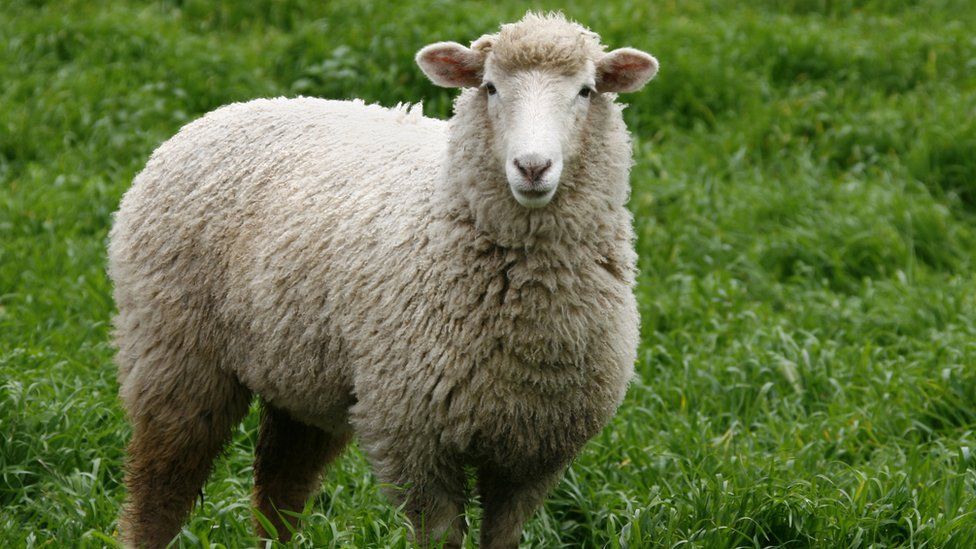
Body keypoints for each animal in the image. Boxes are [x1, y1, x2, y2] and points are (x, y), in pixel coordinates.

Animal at [108, 11, 658, 548]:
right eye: (490, 87)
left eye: (585, 90)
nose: (532, 167)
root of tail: (230, 109)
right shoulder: (415, 440)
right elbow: (439, 538)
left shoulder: (532, 458)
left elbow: (502, 536)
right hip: (175, 356)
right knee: (160, 494)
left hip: (300, 376)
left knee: (279, 493)